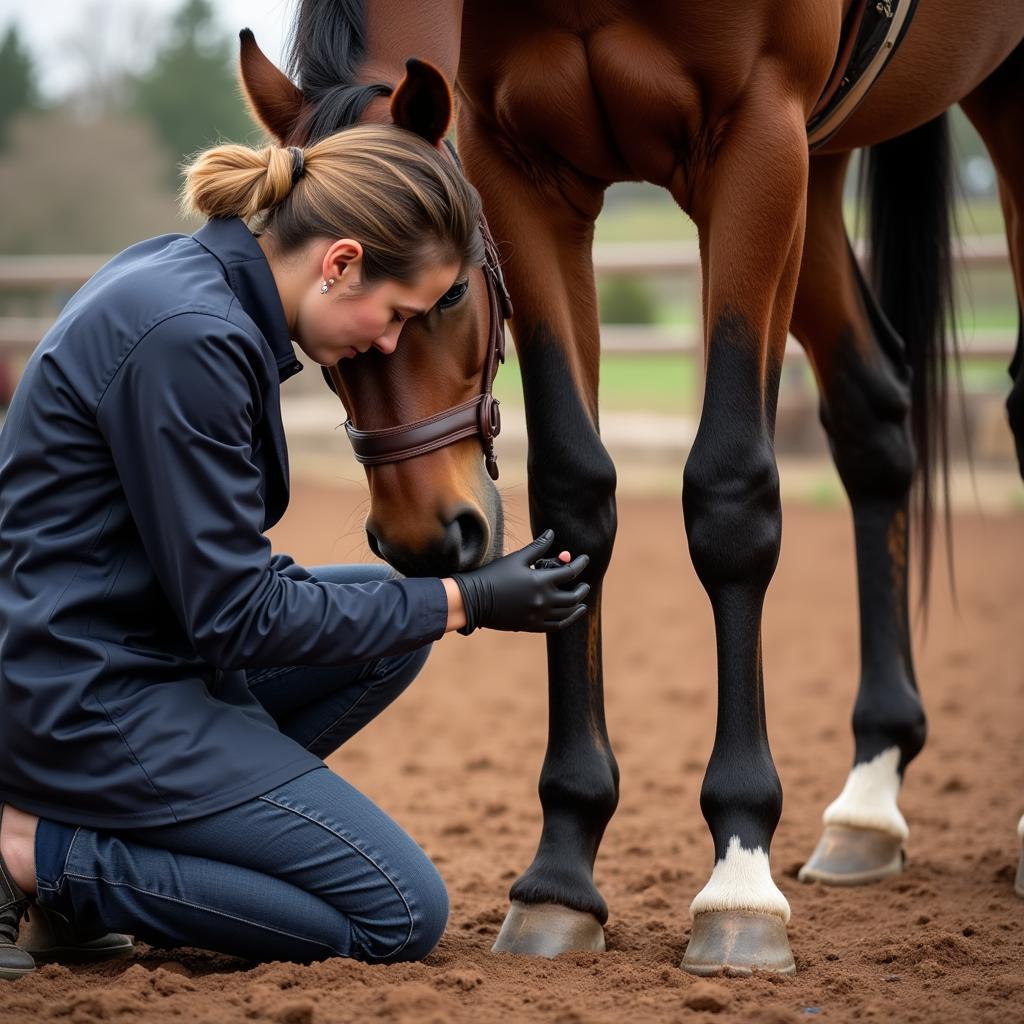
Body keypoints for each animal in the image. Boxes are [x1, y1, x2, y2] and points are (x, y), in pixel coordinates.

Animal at [239, 0, 1024, 974]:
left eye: (452, 292)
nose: (425, 536)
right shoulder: (525, 168)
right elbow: (576, 493)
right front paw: (560, 876)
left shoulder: (758, 136)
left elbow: (730, 497)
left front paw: (739, 879)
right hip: (823, 166)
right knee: (873, 414)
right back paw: (869, 801)